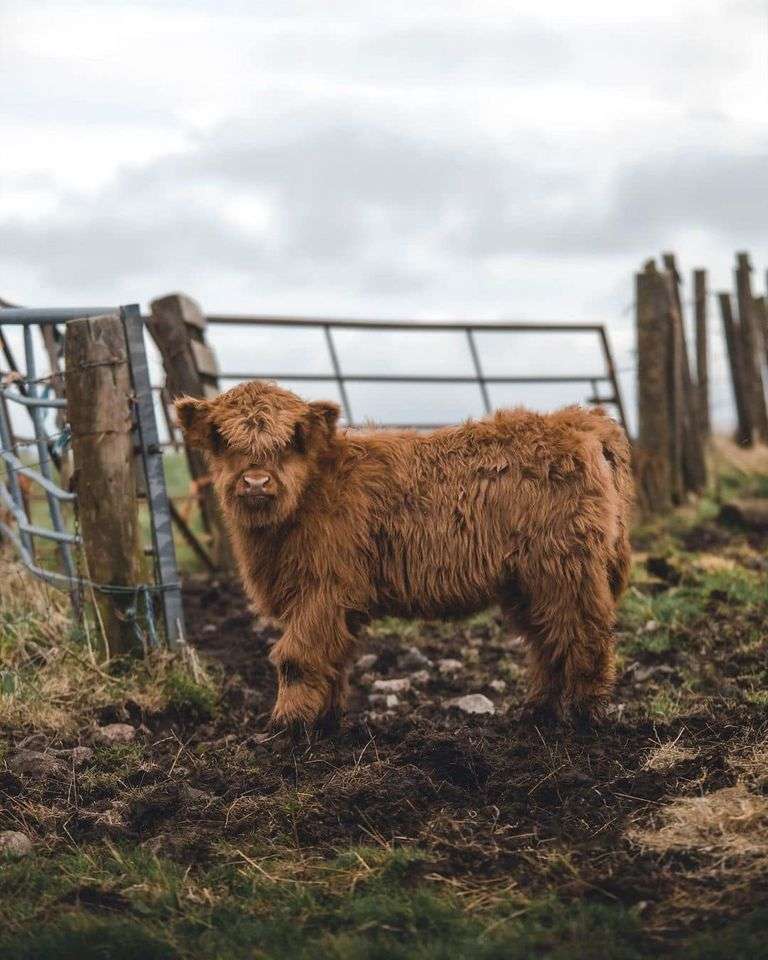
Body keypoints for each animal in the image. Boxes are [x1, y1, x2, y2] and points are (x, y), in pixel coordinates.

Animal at [177, 382, 632, 736]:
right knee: (546, 641)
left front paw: (286, 727)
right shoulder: (336, 601)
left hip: (565, 569)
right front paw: (326, 722)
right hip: (526, 582)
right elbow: (334, 657)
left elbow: (297, 656)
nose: (255, 482)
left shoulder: (324, 589)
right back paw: (537, 713)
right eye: (220, 437)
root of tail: (580, 420)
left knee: (585, 634)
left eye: (293, 438)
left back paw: (583, 718)